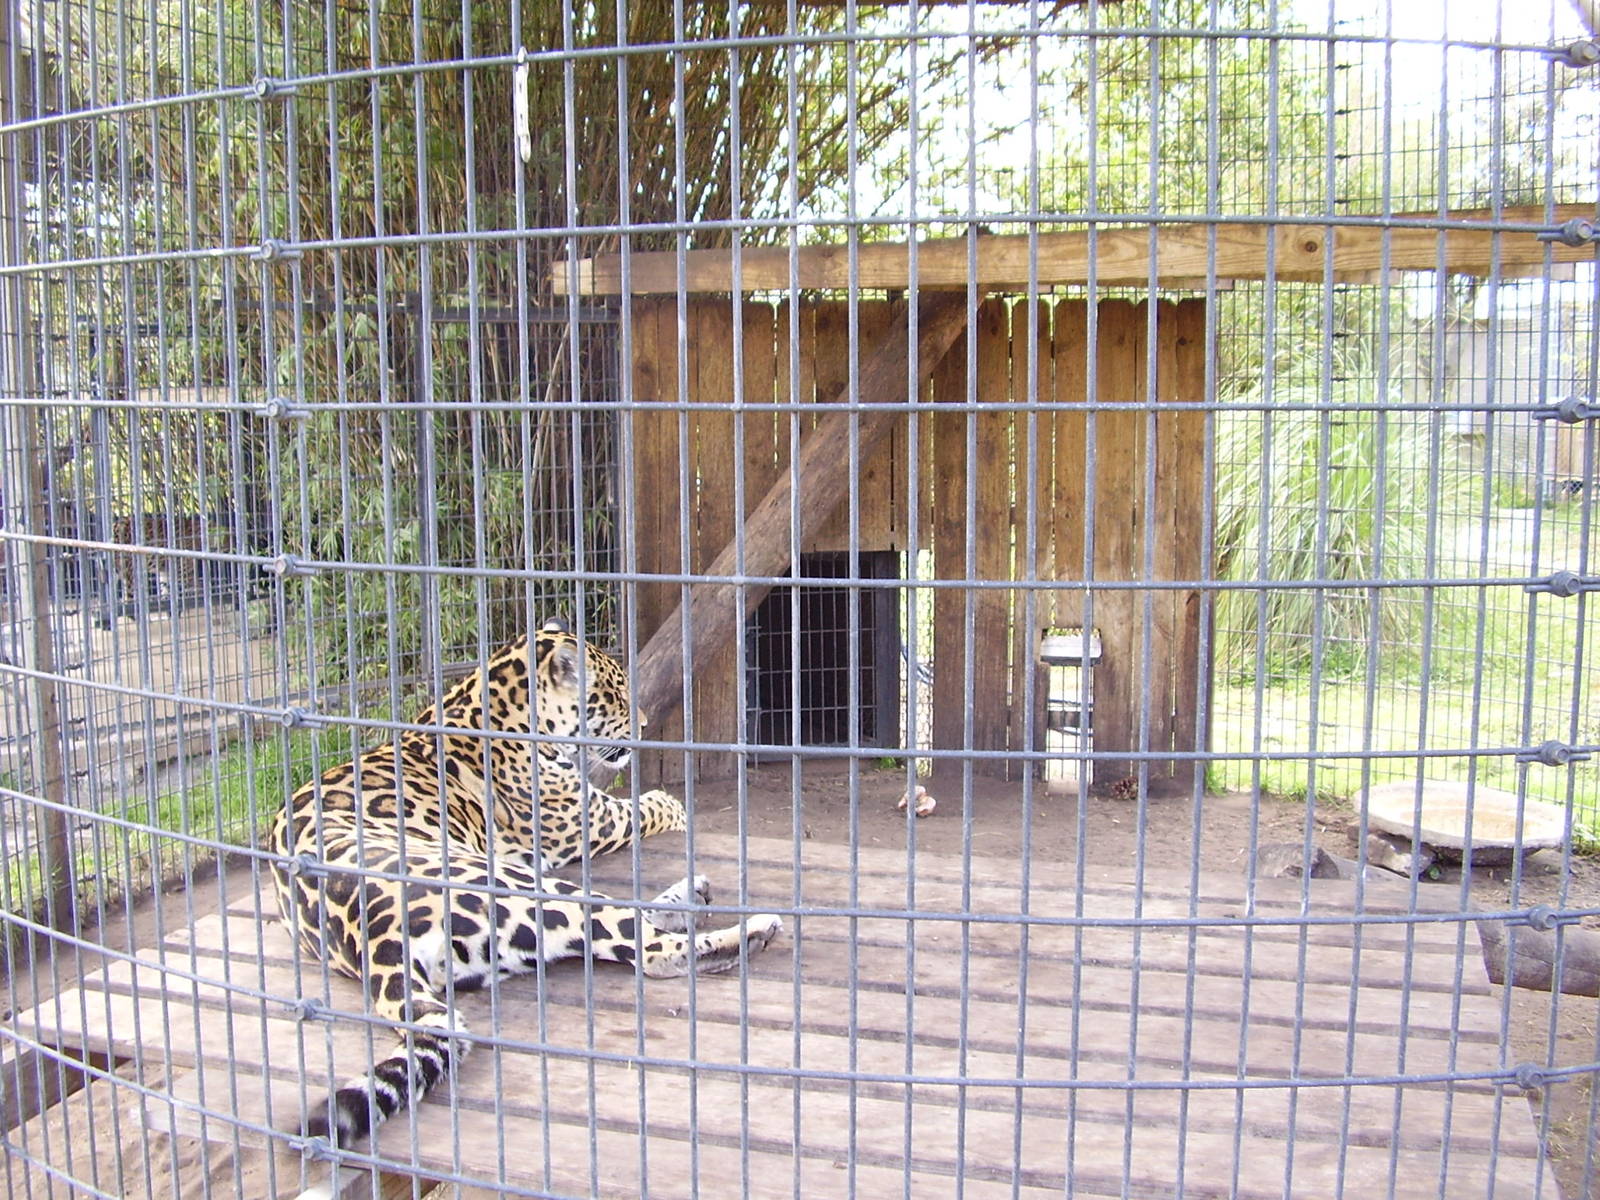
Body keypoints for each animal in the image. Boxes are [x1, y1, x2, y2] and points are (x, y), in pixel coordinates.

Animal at [270, 621, 783, 1150]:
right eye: (616, 695)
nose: (642, 726)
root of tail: (376, 940)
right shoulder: (586, 820)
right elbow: (646, 807)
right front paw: (672, 806)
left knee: (616, 932)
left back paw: (692, 896)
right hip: (517, 882)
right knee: (646, 948)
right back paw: (751, 930)